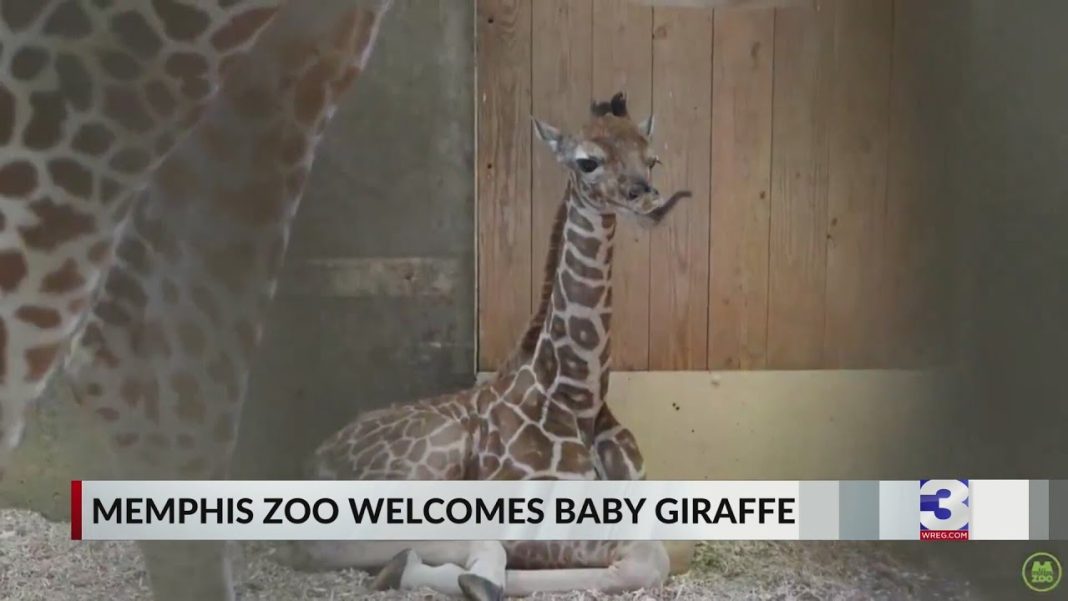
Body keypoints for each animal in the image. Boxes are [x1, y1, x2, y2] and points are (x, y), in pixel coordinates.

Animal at [283, 92, 691, 600]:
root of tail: (309, 461)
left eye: (651, 157)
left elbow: (671, 549)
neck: (578, 397)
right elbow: (646, 558)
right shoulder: (532, 510)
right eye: (588, 161)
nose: (649, 198)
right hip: (429, 461)